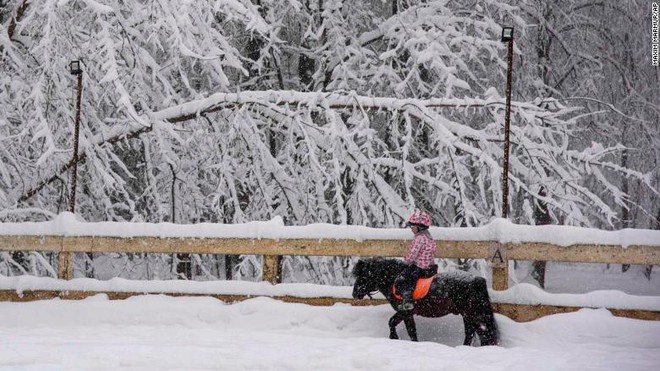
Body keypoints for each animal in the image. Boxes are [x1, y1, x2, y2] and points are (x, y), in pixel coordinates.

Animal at [354, 258, 498, 346]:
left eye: (363, 276)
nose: (355, 294)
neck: (394, 280)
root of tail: (476, 280)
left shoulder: (404, 312)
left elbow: (396, 324)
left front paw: (395, 337)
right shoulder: (407, 314)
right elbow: (408, 328)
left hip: (472, 313)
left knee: (481, 333)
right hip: (468, 314)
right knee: (473, 333)